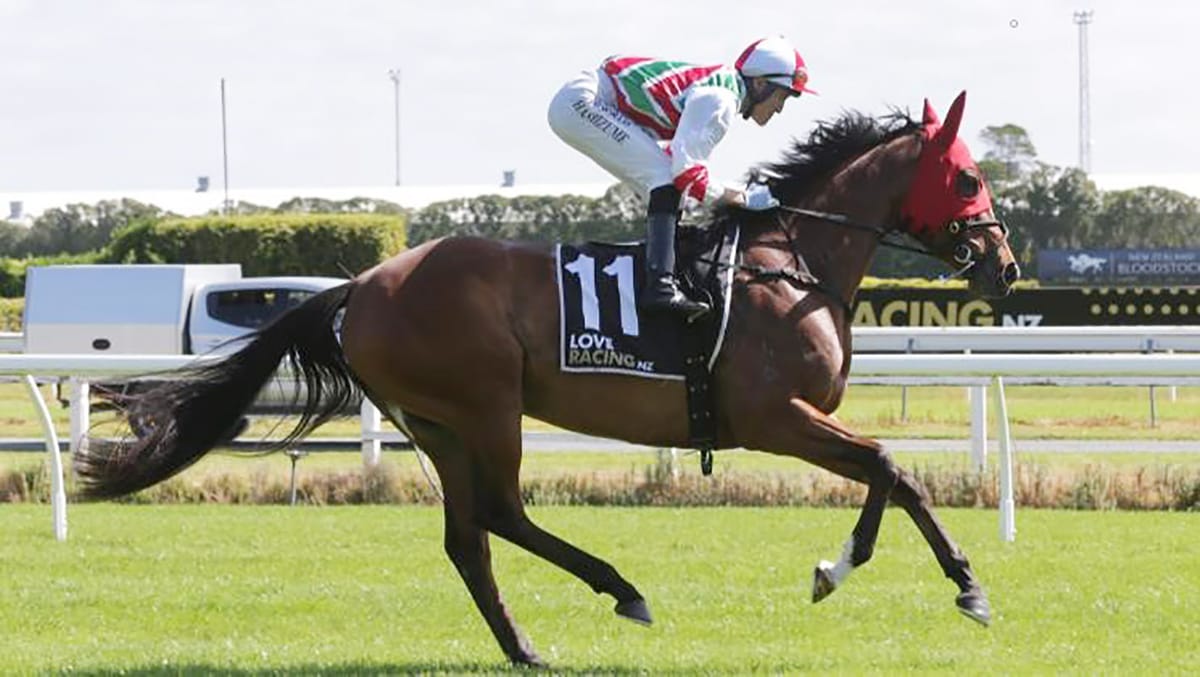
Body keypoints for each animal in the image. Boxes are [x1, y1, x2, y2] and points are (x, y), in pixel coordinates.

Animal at [76, 91, 1019, 667]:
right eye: (969, 176)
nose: (1004, 265)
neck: (791, 264)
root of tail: (361, 284)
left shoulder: (789, 421)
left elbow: (891, 473)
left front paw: (904, 575)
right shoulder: (772, 416)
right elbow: (889, 465)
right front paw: (908, 577)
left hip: (437, 422)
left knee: (469, 537)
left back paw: (524, 644)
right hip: (487, 404)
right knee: (499, 513)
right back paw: (622, 590)